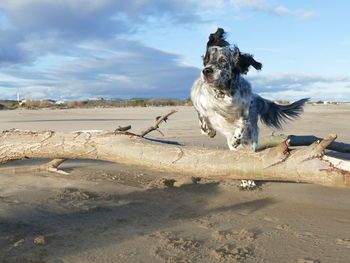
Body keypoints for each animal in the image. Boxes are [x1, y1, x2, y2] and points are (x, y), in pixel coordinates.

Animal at [191, 28, 308, 190]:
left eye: (223, 60)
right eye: (206, 60)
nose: (206, 71)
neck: (223, 94)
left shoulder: (246, 112)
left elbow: (242, 123)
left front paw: (236, 137)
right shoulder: (199, 101)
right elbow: (203, 115)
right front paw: (208, 129)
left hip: (251, 141)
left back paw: (249, 181)